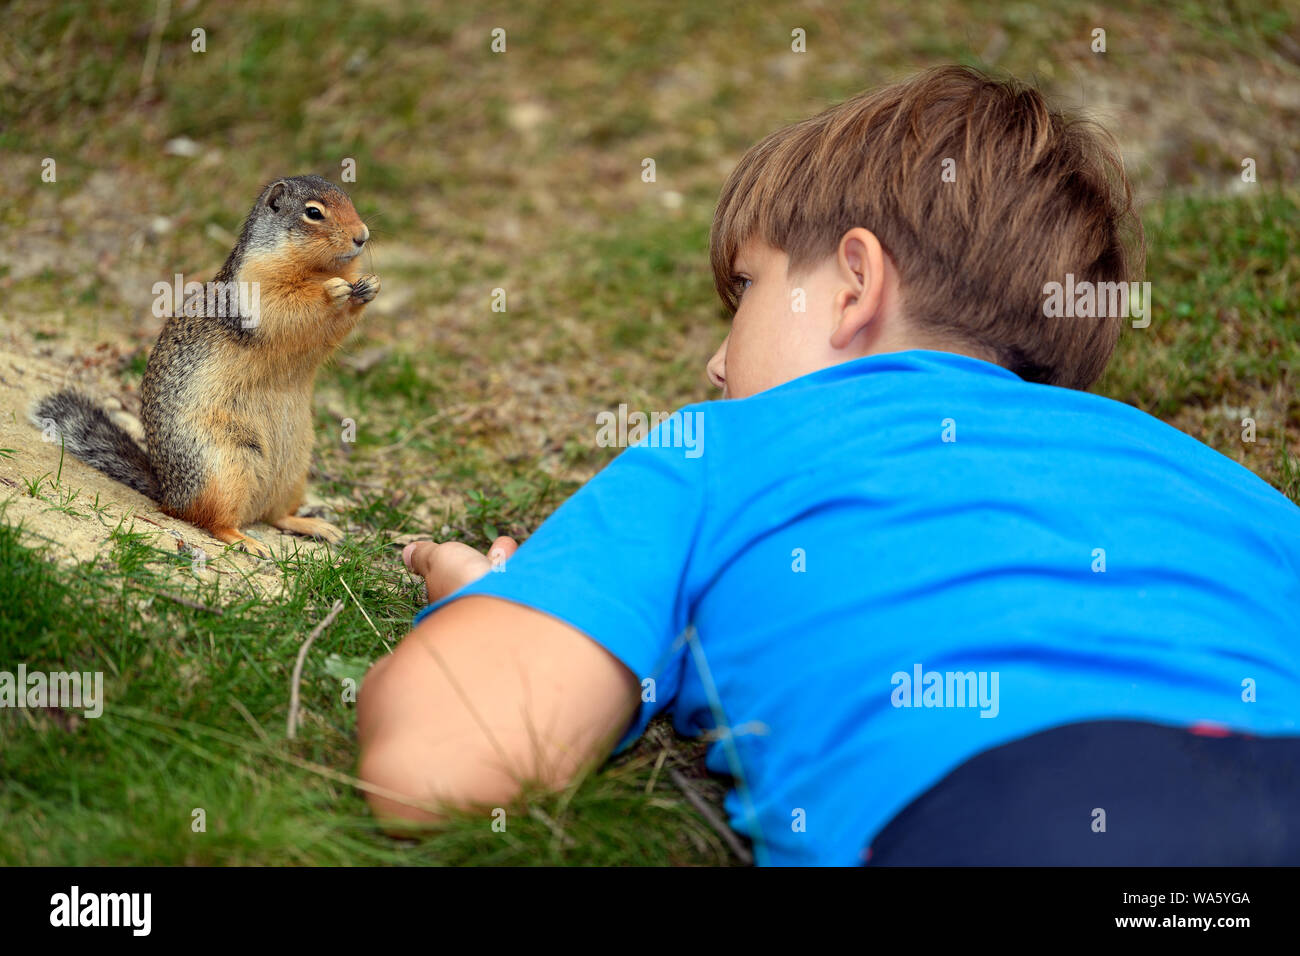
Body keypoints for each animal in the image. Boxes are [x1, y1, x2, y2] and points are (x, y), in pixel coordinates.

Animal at [30, 175, 379, 556]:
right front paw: (332, 291)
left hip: (294, 470)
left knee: (276, 516)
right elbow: (288, 305)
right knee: (211, 520)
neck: (317, 268)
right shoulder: (258, 287)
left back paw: (315, 526)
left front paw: (369, 285)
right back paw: (246, 541)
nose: (362, 235)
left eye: (349, 199)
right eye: (313, 213)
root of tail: (169, 492)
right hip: (223, 467)